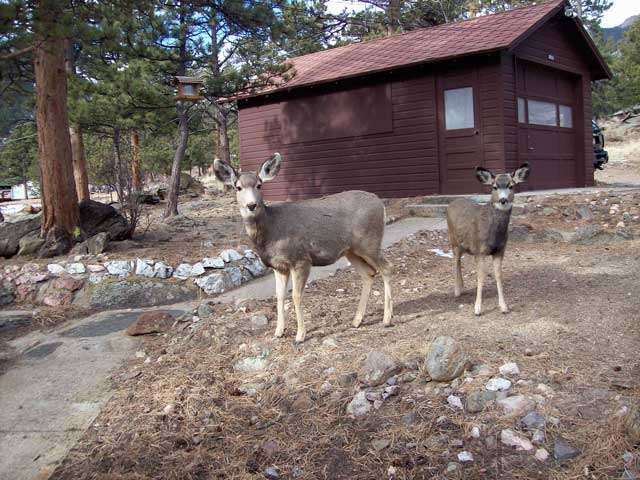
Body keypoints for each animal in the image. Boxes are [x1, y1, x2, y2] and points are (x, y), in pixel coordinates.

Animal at [215, 153, 392, 342]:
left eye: (259, 185)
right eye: (238, 187)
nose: (251, 205)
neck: (271, 231)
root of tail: (380, 204)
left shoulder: (300, 259)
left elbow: (296, 295)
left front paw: (300, 335)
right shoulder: (279, 266)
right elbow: (279, 296)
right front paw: (278, 331)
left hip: (370, 242)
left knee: (387, 267)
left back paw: (387, 319)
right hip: (352, 250)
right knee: (369, 273)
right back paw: (357, 320)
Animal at [444, 163, 528, 316]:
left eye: (511, 186)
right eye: (494, 187)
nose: (503, 200)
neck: (493, 234)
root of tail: (451, 203)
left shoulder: (500, 250)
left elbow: (498, 275)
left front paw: (504, 307)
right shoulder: (480, 250)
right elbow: (481, 276)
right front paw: (477, 308)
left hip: (464, 245)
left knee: (459, 260)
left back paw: (462, 287)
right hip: (453, 240)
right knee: (455, 260)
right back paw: (457, 290)